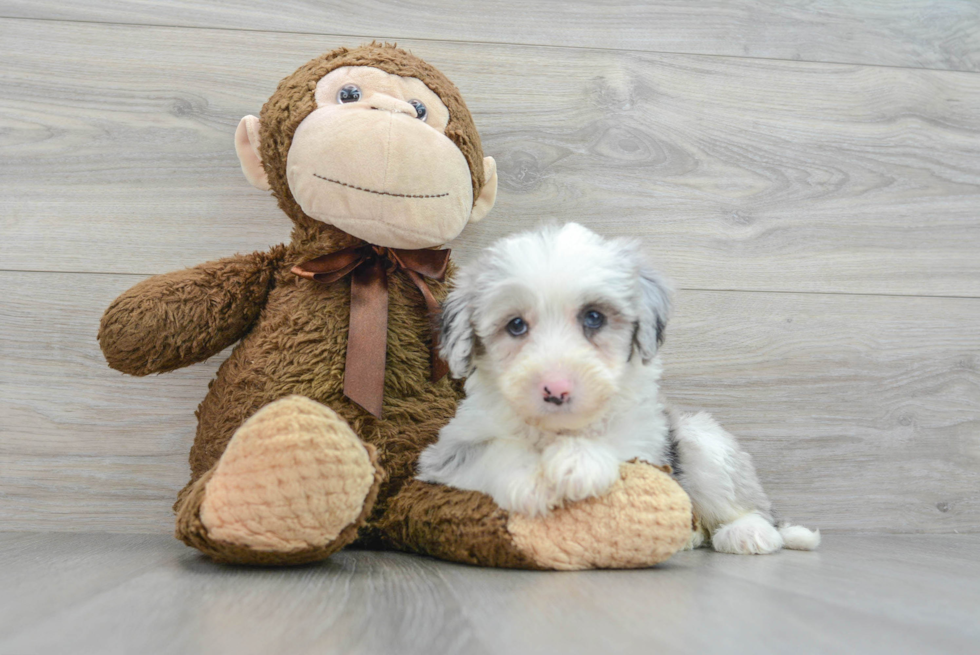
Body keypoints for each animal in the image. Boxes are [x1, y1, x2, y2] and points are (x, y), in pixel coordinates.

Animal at [418, 224, 824, 552]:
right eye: (516, 325)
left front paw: (578, 462)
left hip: (700, 442)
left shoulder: (647, 441)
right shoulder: (444, 454)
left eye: (594, 317)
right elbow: (493, 452)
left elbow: (616, 439)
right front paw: (531, 479)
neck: (558, 430)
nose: (556, 388)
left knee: (750, 508)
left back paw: (749, 533)